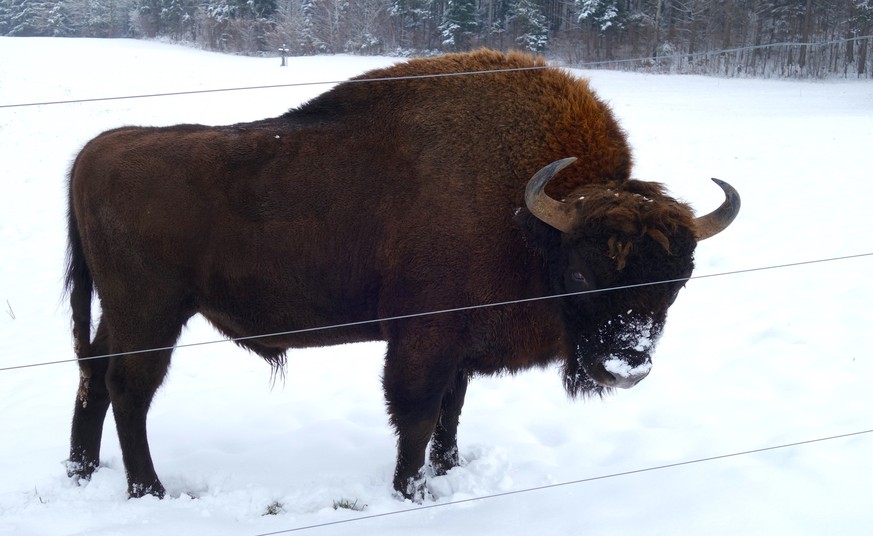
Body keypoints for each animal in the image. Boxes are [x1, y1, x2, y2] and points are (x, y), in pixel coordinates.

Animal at [64, 48, 740, 500]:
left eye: (677, 282)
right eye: (581, 273)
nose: (626, 366)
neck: (524, 219)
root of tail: (95, 151)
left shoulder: (461, 344)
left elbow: (451, 413)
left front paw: (449, 471)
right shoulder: (424, 340)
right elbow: (416, 416)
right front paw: (410, 490)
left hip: (121, 315)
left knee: (94, 377)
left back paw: (82, 471)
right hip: (152, 314)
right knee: (129, 389)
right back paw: (148, 491)